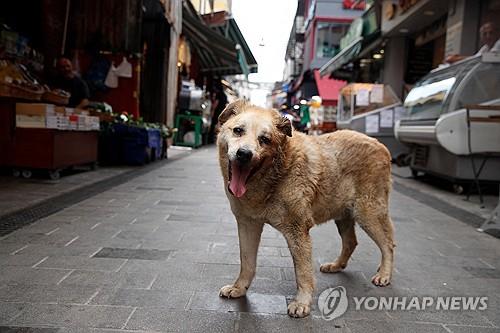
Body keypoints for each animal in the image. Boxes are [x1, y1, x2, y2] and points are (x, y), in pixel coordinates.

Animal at [215, 99, 394, 316]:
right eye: (238, 130)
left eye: (264, 139)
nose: (244, 154)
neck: (276, 174)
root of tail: (380, 145)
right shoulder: (248, 224)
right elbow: (247, 261)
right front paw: (239, 288)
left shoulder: (298, 230)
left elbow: (302, 271)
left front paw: (302, 302)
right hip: (343, 215)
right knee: (351, 242)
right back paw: (336, 266)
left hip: (368, 213)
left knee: (388, 244)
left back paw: (384, 274)